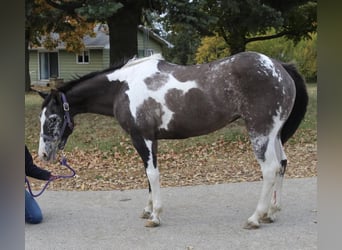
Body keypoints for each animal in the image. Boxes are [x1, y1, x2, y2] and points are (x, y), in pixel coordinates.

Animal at [36, 51, 308, 229]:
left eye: (52, 118)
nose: (43, 154)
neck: (123, 87)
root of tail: (279, 66)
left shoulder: (142, 137)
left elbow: (152, 174)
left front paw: (156, 216)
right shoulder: (151, 139)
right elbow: (149, 175)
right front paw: (148, 209)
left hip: (260, 132)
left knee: (270, 169)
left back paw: (255, 217)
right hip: (274, 133)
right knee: (282, 164)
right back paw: (271, 213)